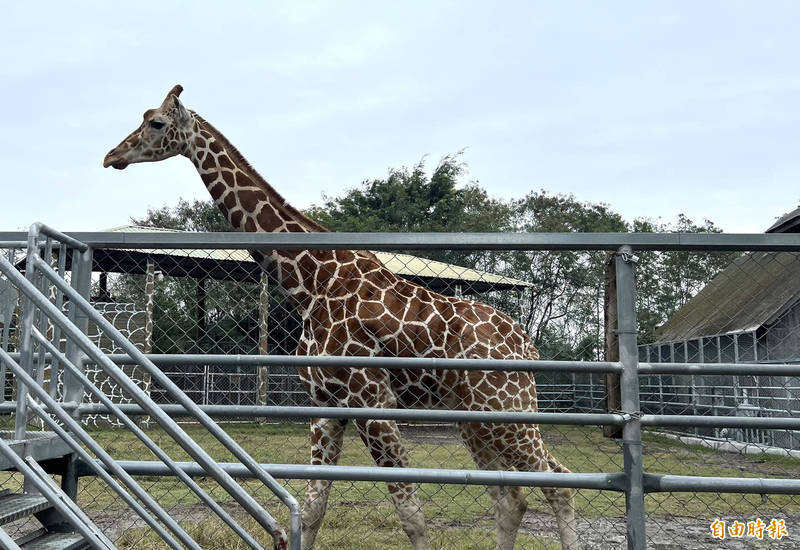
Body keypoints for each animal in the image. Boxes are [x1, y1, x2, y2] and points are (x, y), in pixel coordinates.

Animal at [103, 86, 580, 550]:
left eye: (156, 122)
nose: (112, 156)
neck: (312, 282)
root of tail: (527, 345)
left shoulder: (371, 401)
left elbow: (411, 513)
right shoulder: (325, 405)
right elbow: (313, 508)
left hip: (507, 408)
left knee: (558, 482)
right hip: (476, 417)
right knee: (511, 496)